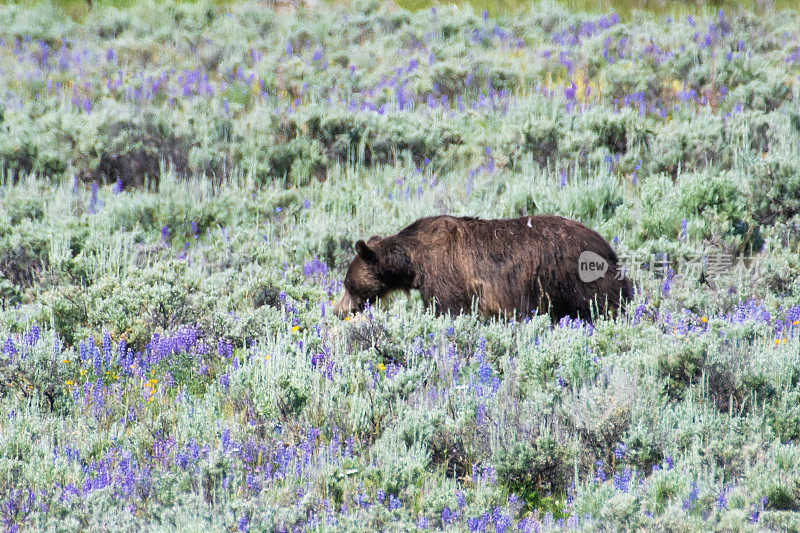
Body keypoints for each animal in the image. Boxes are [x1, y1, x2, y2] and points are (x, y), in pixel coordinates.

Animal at [332, 214, 632, 322]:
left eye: (346, 284)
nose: (337, 310)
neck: (413, 261)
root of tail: (607, 246)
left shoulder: (446, 274)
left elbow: (450, 310)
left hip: (576, 279)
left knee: (603, 304)